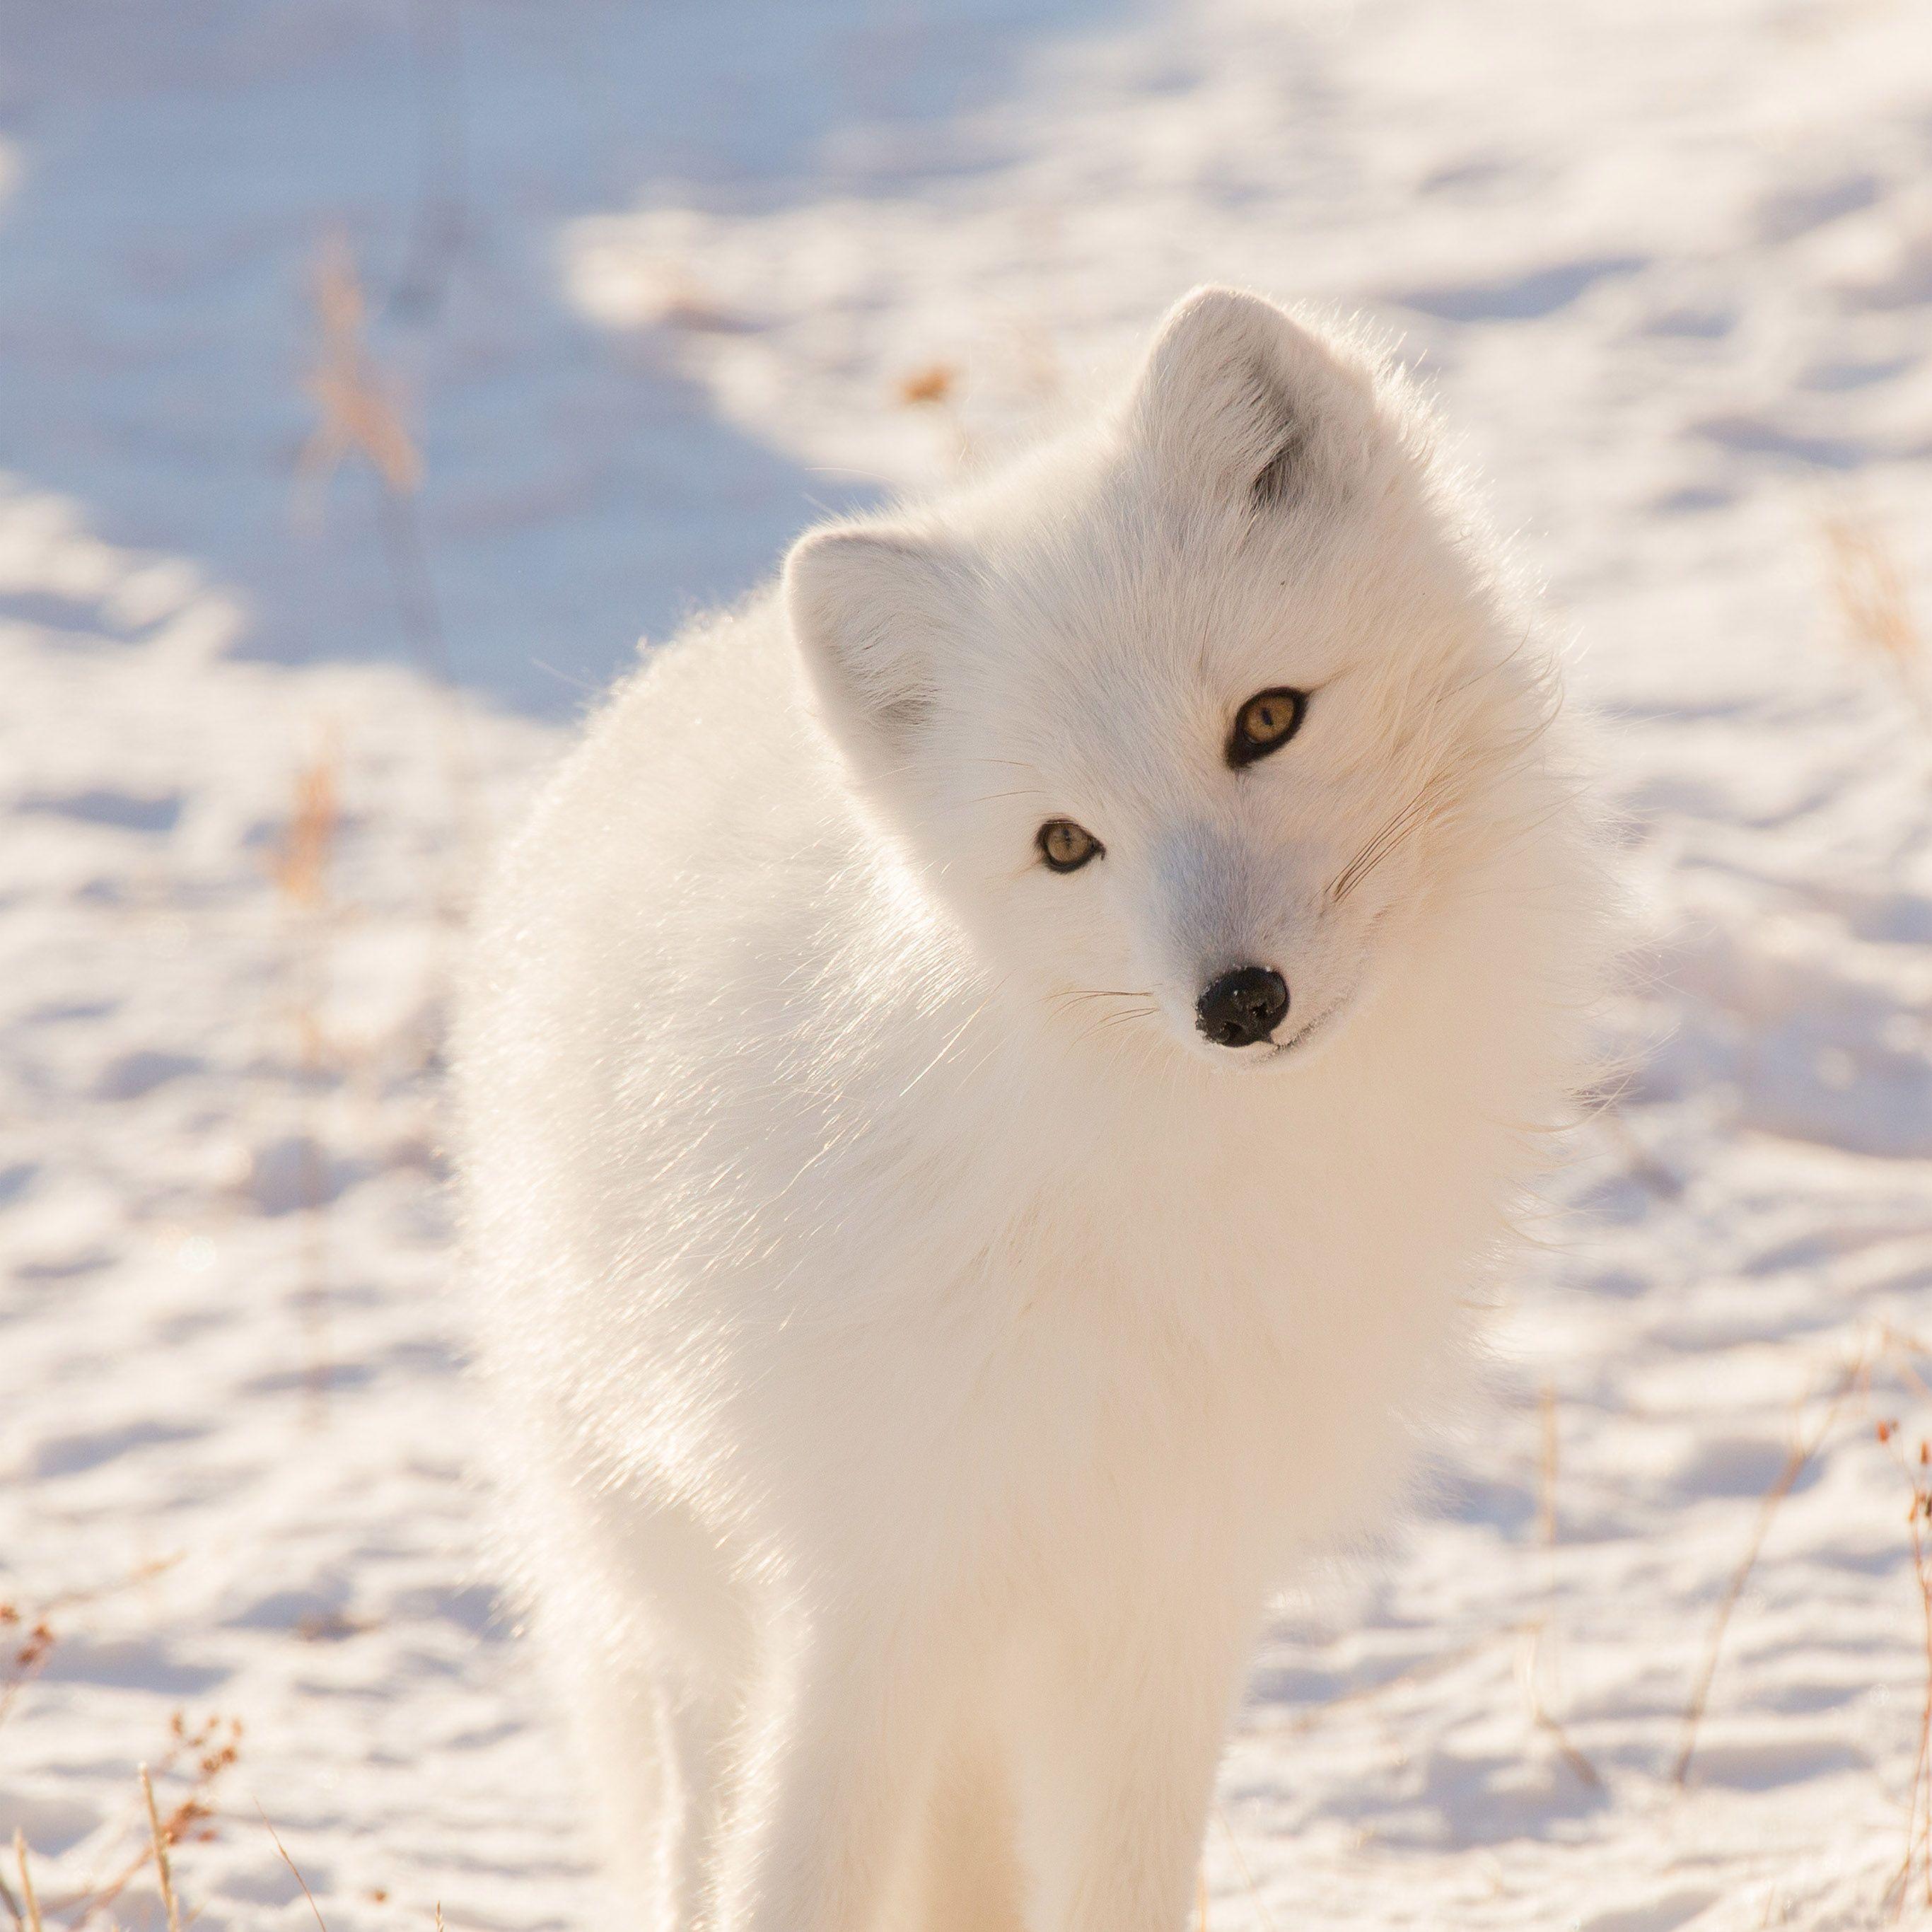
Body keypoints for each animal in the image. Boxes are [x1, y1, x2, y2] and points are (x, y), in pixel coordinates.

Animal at [453, 286, 1612, 1932]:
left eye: (1268, 718)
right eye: (1067, 845)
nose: (1236, 1002)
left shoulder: (1166, 1590)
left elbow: (1124, 1886)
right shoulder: (875, 1580)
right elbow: (794, 1876)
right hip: (693, 1583)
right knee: (698, 1830)